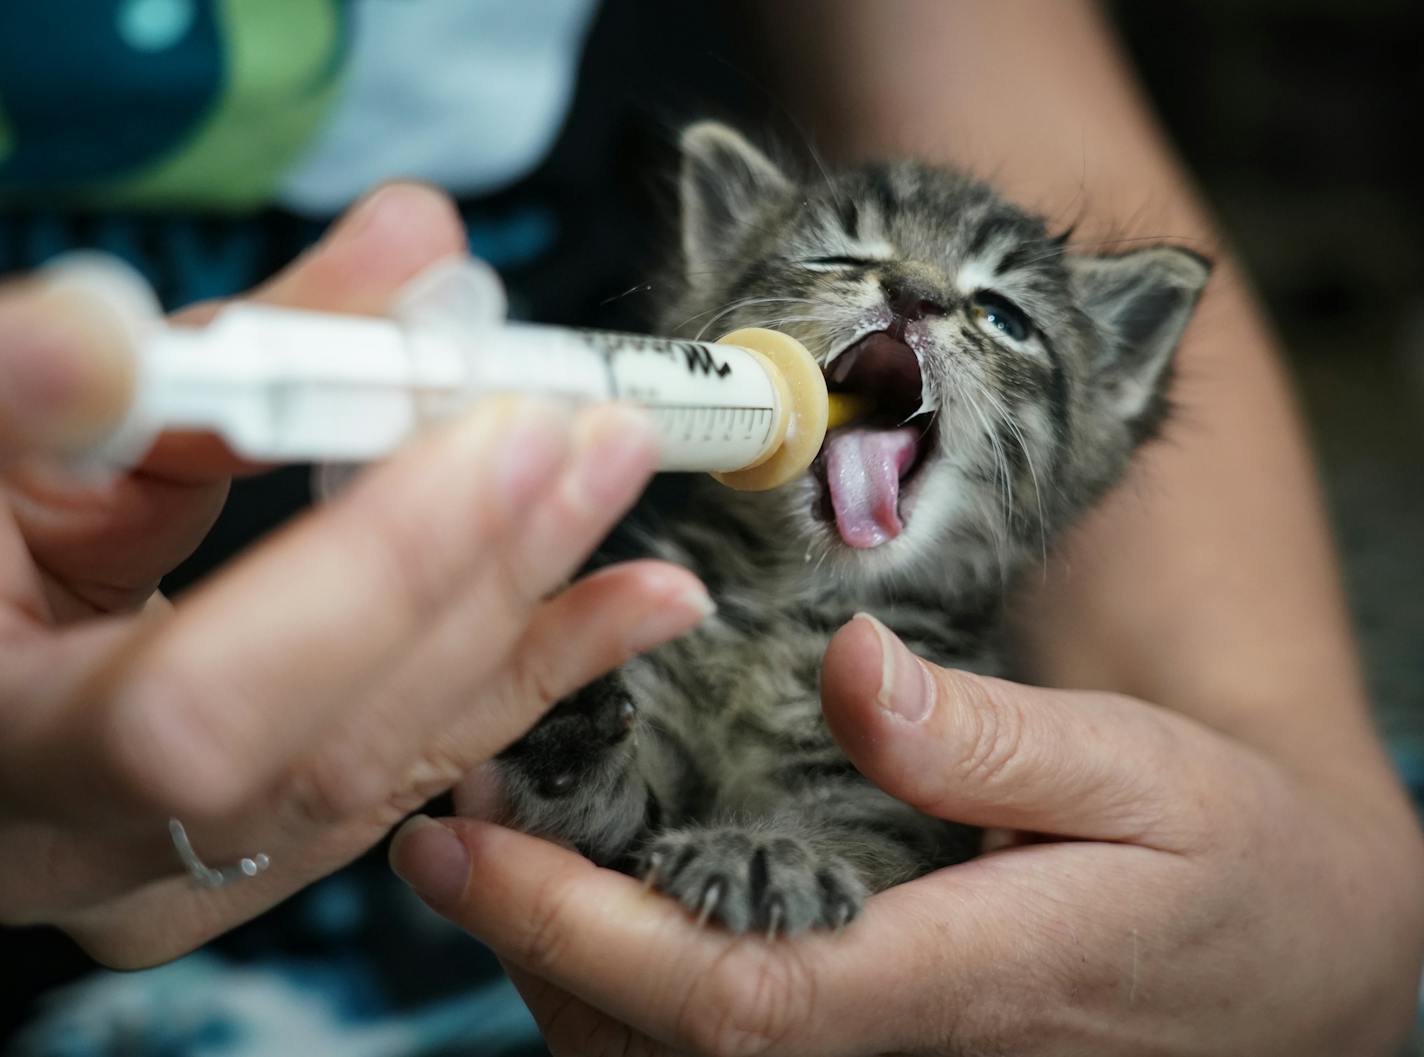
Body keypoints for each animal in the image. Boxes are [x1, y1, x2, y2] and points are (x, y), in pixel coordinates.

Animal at [487, 120, 1201, 940]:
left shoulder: (898, 806)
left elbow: (860, 841)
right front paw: (566, 716)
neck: (793, 600)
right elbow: (606, 808)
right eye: (839, 258)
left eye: (1003, 317)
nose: (914, 295)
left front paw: (766, 853)